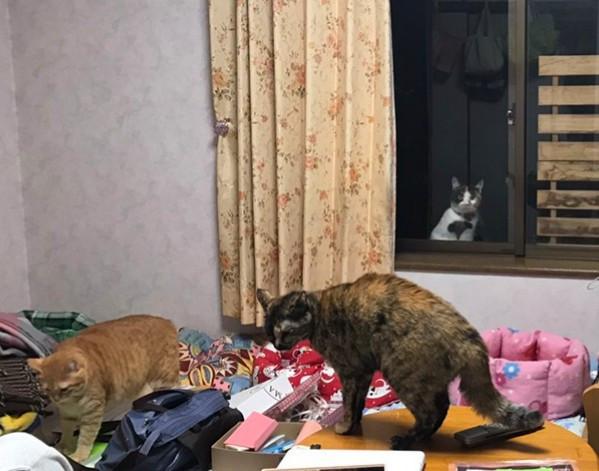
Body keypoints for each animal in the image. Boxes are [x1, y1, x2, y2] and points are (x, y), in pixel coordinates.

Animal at [28, 314, 180, 463]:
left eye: (63, 389)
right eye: (47, 390)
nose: (56, 400)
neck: (74, 401)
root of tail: (167, 322)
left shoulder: (92, 414)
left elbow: (85, 438)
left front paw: (79, 455)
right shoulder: (67, 414)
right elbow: (66, 432)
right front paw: (64, 446)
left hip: (164, 377)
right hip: (142, 388)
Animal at [257, 274, 543, 450]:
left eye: (284, 332)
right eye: (270, 332)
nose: (278, 345)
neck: (317, 314)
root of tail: (468, 337)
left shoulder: (350, 371)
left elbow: (349, 403)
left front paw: (344, 427)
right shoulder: (363, 372)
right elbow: (358, 403)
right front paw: (355, 425)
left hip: (403, 375)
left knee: (431, 413)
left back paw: (406, 441)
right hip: (425, 380)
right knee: (441, 407)